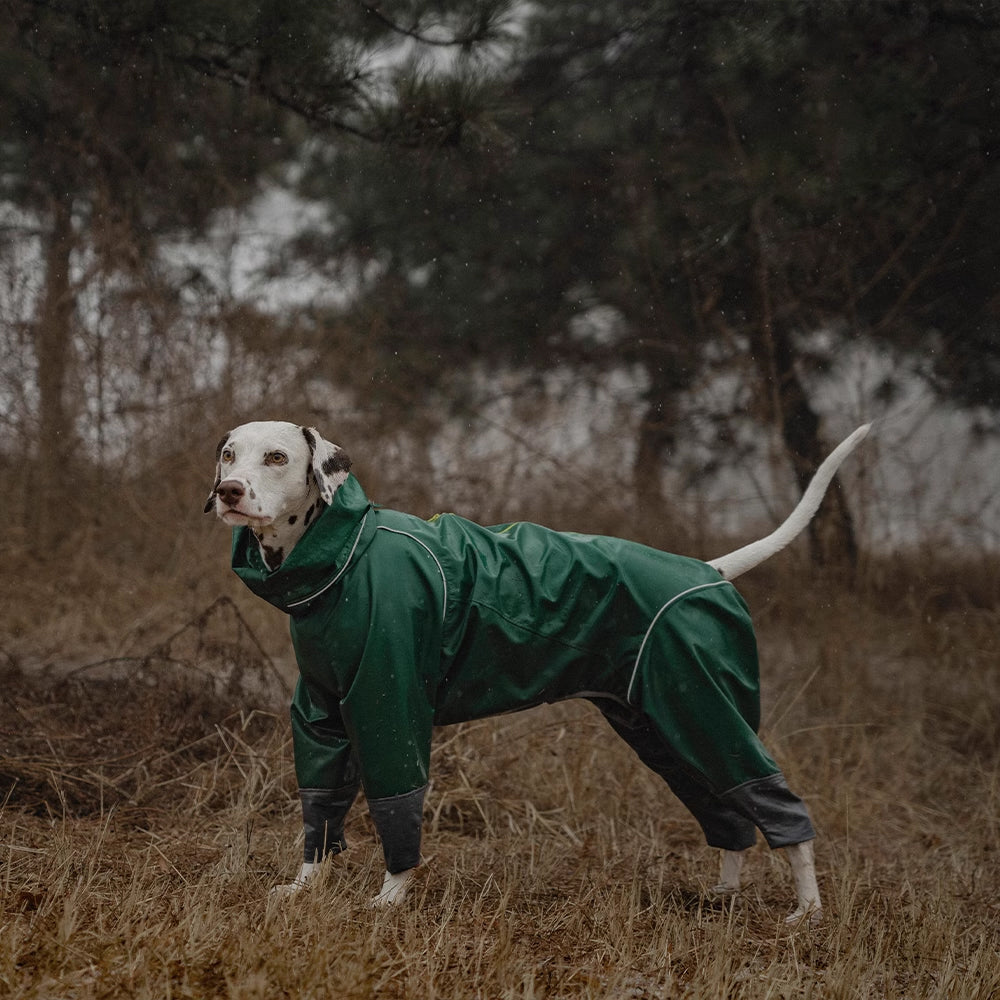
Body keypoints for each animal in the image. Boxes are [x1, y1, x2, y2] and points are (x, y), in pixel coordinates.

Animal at [205, 418, 868, 916]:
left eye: (276, 456)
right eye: (230, 453)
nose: (230, 489)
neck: (344, 552)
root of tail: (709, 570)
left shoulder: (388, 707)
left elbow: (398, 806)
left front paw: (390, 899)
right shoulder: (321, 718)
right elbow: (320, 811)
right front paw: (304, 888)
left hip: (706, 715)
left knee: (779, 808)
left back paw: (807, 911)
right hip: (668, 732)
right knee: (726, 812)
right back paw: (724, 893)